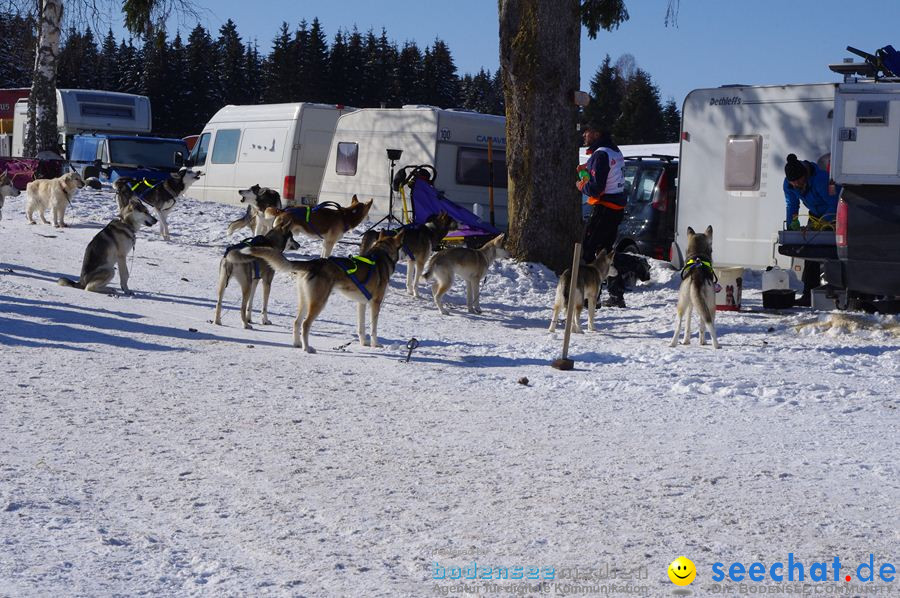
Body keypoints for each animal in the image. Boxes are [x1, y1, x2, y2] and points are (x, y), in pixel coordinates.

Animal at [241, 229, 406, 352]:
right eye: (402, 246)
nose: (407, 255)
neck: (381, 254)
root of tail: (313, 263)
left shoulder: (361, 303)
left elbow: (361, 327)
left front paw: (363, 343)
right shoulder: (376, 303)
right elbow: (373, 329)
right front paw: (375, 345)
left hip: (305, 301)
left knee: (296, 322)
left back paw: (297, 344)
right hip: (319, 302)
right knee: (305, 324)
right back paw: (307, 348)